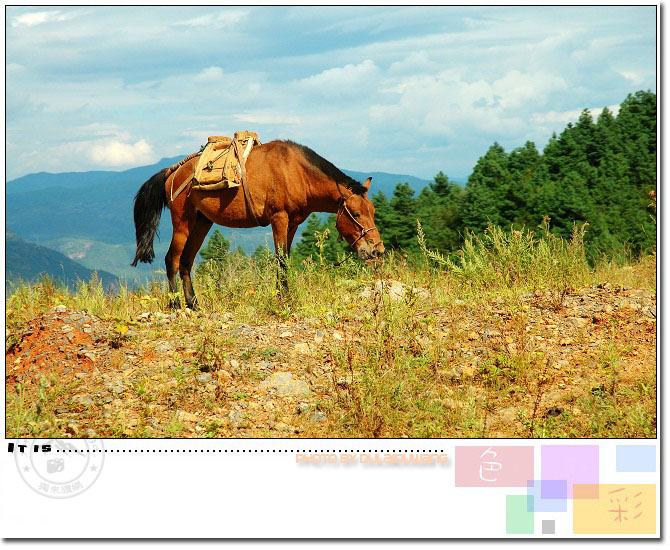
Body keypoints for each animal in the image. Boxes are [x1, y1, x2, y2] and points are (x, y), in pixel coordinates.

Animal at [131, 139, 386, 310]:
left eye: (373, 211)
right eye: (356, 213)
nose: (377, 250)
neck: (296, 172)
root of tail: (171, 172)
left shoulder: (292, 224)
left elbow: (285, 260)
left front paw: (283, 295)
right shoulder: (279, 219)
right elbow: (281, 259)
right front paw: (283, 299)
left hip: (202, 222)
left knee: (186, 261)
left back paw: (193, 304)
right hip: (183, 222)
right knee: (172, 260)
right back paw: (175, 305)